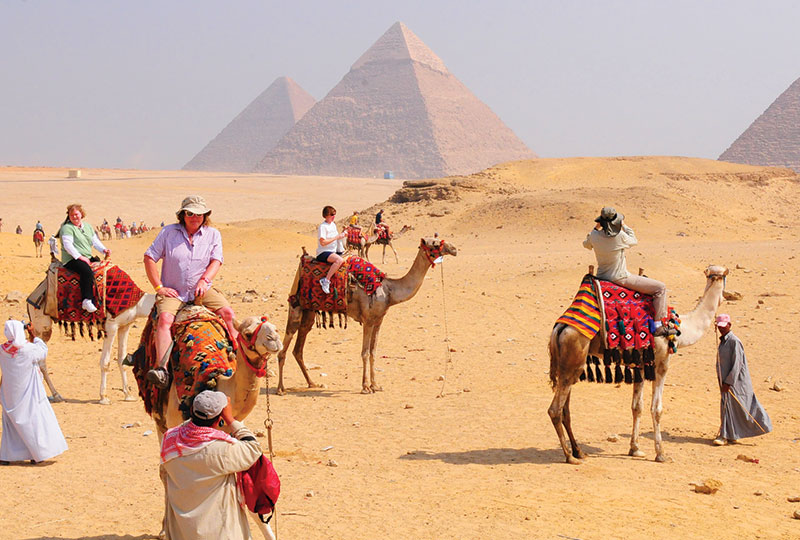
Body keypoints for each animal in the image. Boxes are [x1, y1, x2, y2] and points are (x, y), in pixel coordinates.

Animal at [28, 284, 157, 402]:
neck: (138, 305)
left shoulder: (125, 326)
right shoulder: (111, 326)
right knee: (41, 361)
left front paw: (128, 395)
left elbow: (122, 360)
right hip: (42, 327)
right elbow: (105, 363)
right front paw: (103, 397)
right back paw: (55, 395)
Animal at [280, 238, 456, 394]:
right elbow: (364, 353)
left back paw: (312, 383)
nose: (453, 248)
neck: (388, 291)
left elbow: (373, 352)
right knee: (284, 348)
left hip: (309, 313)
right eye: (434, 244)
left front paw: (375, 385)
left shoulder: (378, 321)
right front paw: (365, 387)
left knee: (298, 349)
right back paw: (281, 389)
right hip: (296, 308)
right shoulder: (368, 320)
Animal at [548, 264, 728, 462]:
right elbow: (656, 409)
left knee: (565, 410)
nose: (725, 296)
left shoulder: (641, 366)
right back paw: (570, 456)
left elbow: (637, 407)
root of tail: (560, 327)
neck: (682, 330)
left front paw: (634, 449)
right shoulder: (661, 364)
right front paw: (661, 454)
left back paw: (578, 451)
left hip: (568, 365)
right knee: (555, 410)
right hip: (574, 357)